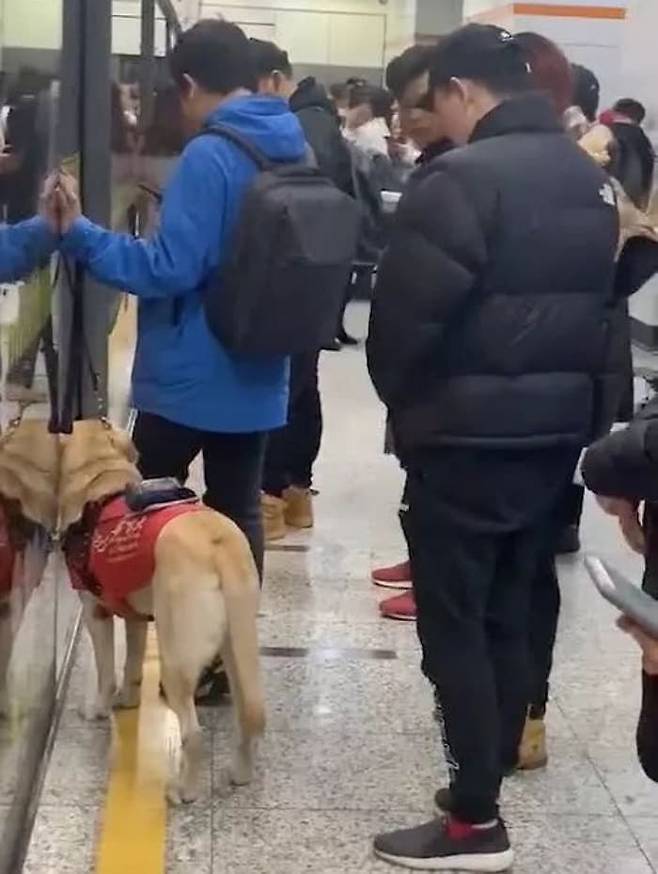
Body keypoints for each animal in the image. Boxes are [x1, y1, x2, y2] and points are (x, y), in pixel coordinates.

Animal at [58, 419, 265, 804]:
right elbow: (132, 666)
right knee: (252, 712)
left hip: (176, 657)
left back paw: (185, 790)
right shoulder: (137, 618)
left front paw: (98, 708)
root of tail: (216, 542)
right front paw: (128, 699)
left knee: (193, 733)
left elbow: (107, 673)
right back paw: (241, 774)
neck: (101, 478)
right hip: (239, 646)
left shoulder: (96, 614)